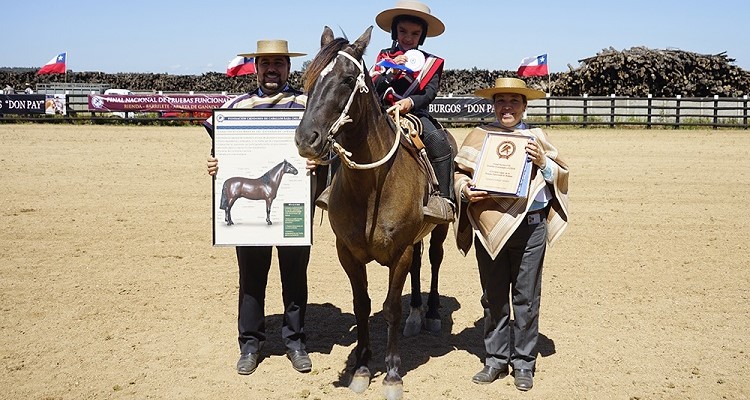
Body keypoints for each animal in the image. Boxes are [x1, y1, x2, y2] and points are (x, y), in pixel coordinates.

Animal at [298, 26, 452, 398]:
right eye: (308, 78)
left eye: (346, 78)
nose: (306, 139)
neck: (370, 187)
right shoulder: (348, 253)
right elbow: (363, 305)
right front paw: (362, 368)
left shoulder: (399, 252)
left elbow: (390, 309)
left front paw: (393, 374)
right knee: (419, 266)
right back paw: (416, 314)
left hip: (438, 231)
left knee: (435, 260)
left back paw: (432, 313)